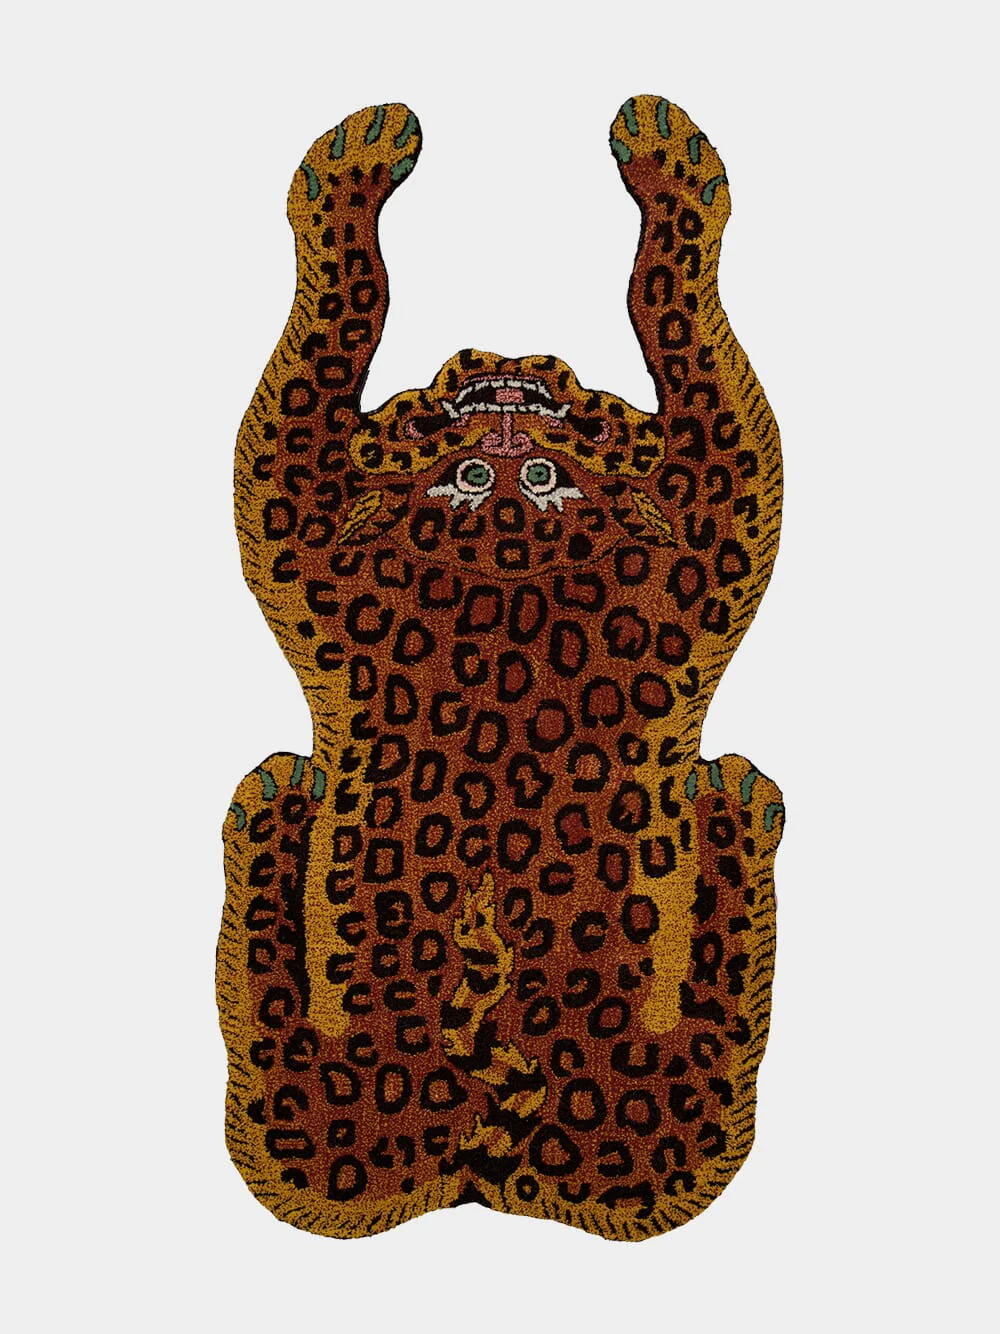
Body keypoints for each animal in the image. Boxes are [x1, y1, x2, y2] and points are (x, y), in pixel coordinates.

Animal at [218, 95, 784, 1241]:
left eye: (541, 471)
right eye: (471, 470)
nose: (509, 399)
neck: (509, 570)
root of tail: (485, 1145)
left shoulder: (707, 528)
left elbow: (682, 329)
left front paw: (661, 147)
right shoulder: (313, 531)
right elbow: (328, 342)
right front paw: (366, 148)